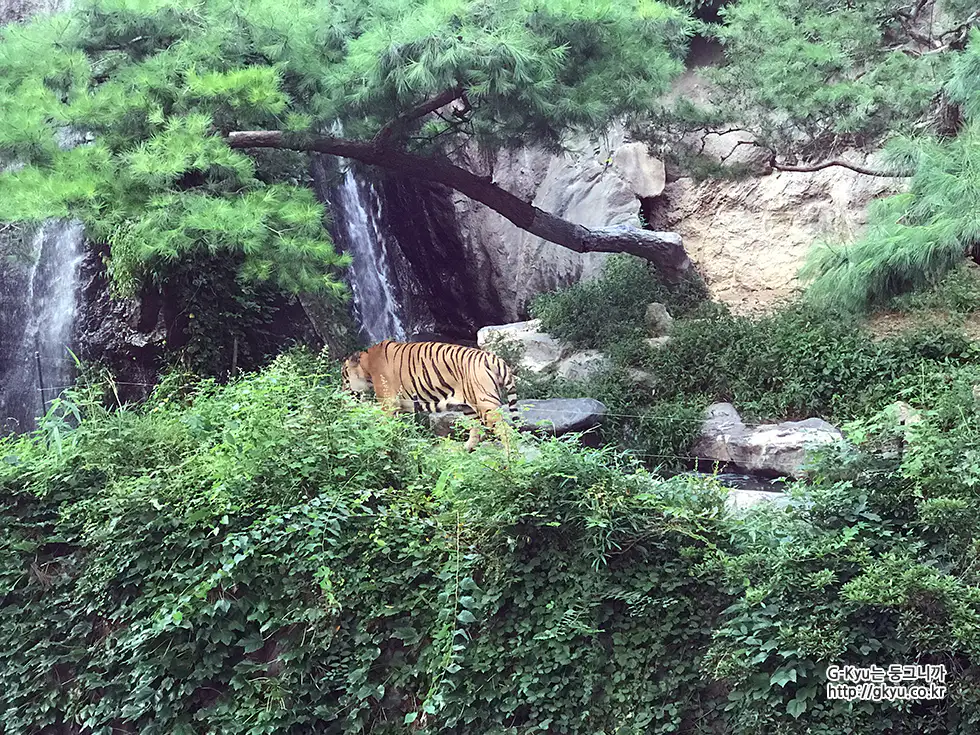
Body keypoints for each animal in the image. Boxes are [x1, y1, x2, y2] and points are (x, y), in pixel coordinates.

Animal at [340, 340, 516, 454]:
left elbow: (385, 427)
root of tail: (493, 357)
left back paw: (509, 459)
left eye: (344, 377)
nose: (341, 392)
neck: (367, 366)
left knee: (505, 431)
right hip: (470, 407)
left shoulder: (388, 403)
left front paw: (385, 447)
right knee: (476, 430)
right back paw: (466, 450)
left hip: (485, 404)